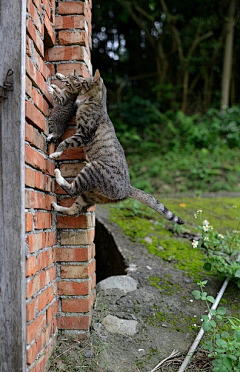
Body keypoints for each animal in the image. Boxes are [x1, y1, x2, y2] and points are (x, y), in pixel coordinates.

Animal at [48, 70, 184, 224]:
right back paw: (57, 207)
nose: (79, 81)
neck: (93, 102)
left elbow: (66, 142)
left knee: (72, 190)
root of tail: (127, 188)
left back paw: (58, 174)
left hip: (93, 169)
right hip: (90, 195)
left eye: (83, 82)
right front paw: (59, 78)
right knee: (74, 210)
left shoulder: (83, 134)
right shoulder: (77, 107)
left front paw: (56, 153)